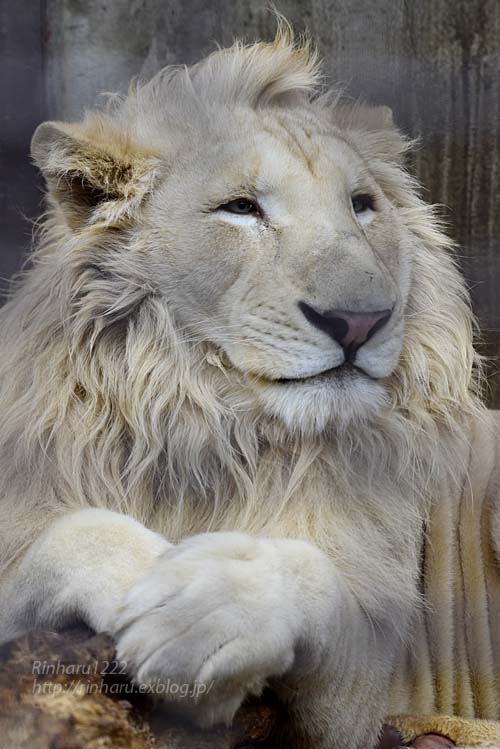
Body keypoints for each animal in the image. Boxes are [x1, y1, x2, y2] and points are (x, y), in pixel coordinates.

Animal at [0, 23, 500, 748]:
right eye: (240, 208)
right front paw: (148, 576)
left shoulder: (356, 707)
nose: (360, 321)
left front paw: (203, 608)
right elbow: (66, 535)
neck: (208, 423)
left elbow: (313, 575)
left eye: (362, 207)